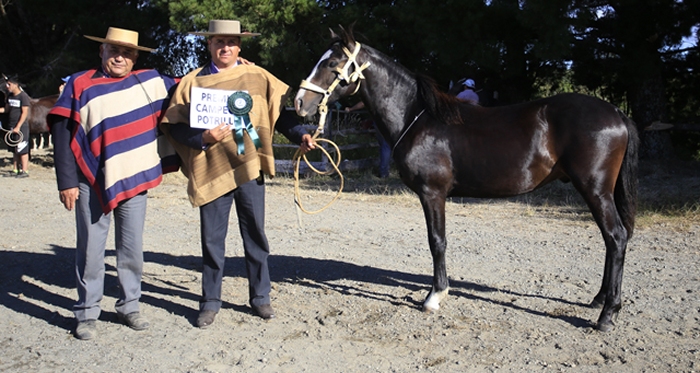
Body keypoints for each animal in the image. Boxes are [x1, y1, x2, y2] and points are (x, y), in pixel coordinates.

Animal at [296, 26, 640, 332]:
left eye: (331, 63)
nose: (300, 102)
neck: (418, 119)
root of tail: (617, 113)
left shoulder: (432, 193)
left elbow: (437, 241)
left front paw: (435, 296)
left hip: (595, 189)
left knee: (616, 237)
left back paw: (607, 315)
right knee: (611, 239)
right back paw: (599, 300)